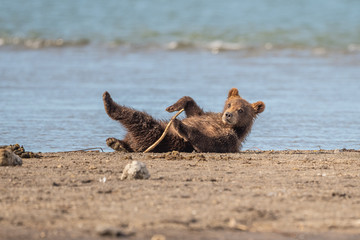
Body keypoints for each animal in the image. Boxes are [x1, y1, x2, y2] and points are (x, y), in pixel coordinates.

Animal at [102, 88, 266, 154]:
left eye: (241, 110)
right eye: (230, 104)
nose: (228, 115)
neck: (222, 123)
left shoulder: (230, 137)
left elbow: (210, 142)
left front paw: (179, 124)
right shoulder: (205, 115)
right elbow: (192, 107)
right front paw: (173, 107)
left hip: (157, 135)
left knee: (138, 118)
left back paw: (109, 105)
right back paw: (115, 142)